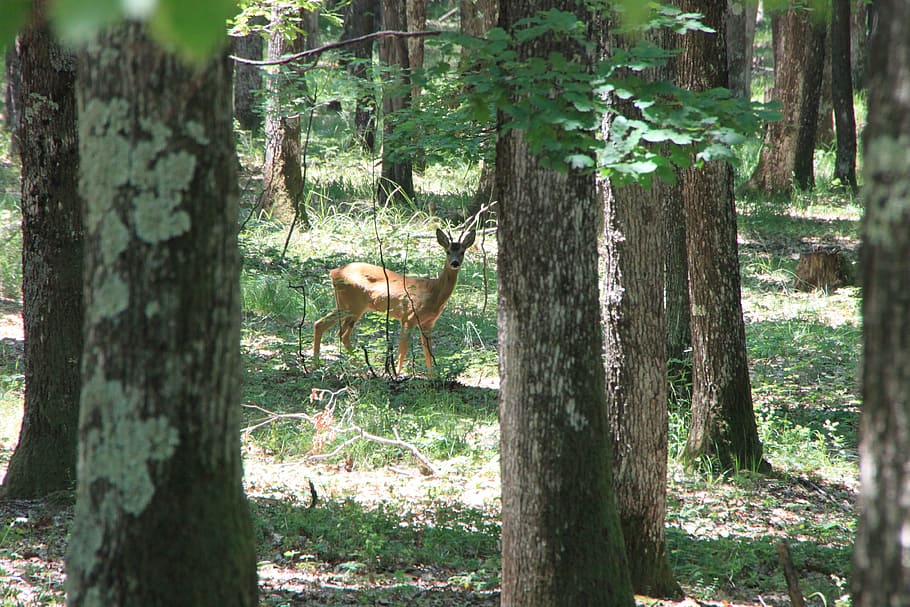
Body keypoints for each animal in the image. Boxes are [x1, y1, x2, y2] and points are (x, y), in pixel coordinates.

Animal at [312, 228, 476, 375]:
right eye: (447, 251)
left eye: (462, 252)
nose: (455, 263)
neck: (433, 291)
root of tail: (334, 272)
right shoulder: (409, 316)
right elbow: (402, 351)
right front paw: (397, 374)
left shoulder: (428, 323)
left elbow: (428, 352)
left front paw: (433, 377)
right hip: (354, 305)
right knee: (342, 334)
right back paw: (363, 369)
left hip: (344, 304)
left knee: (320, 324)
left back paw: (316, 365)